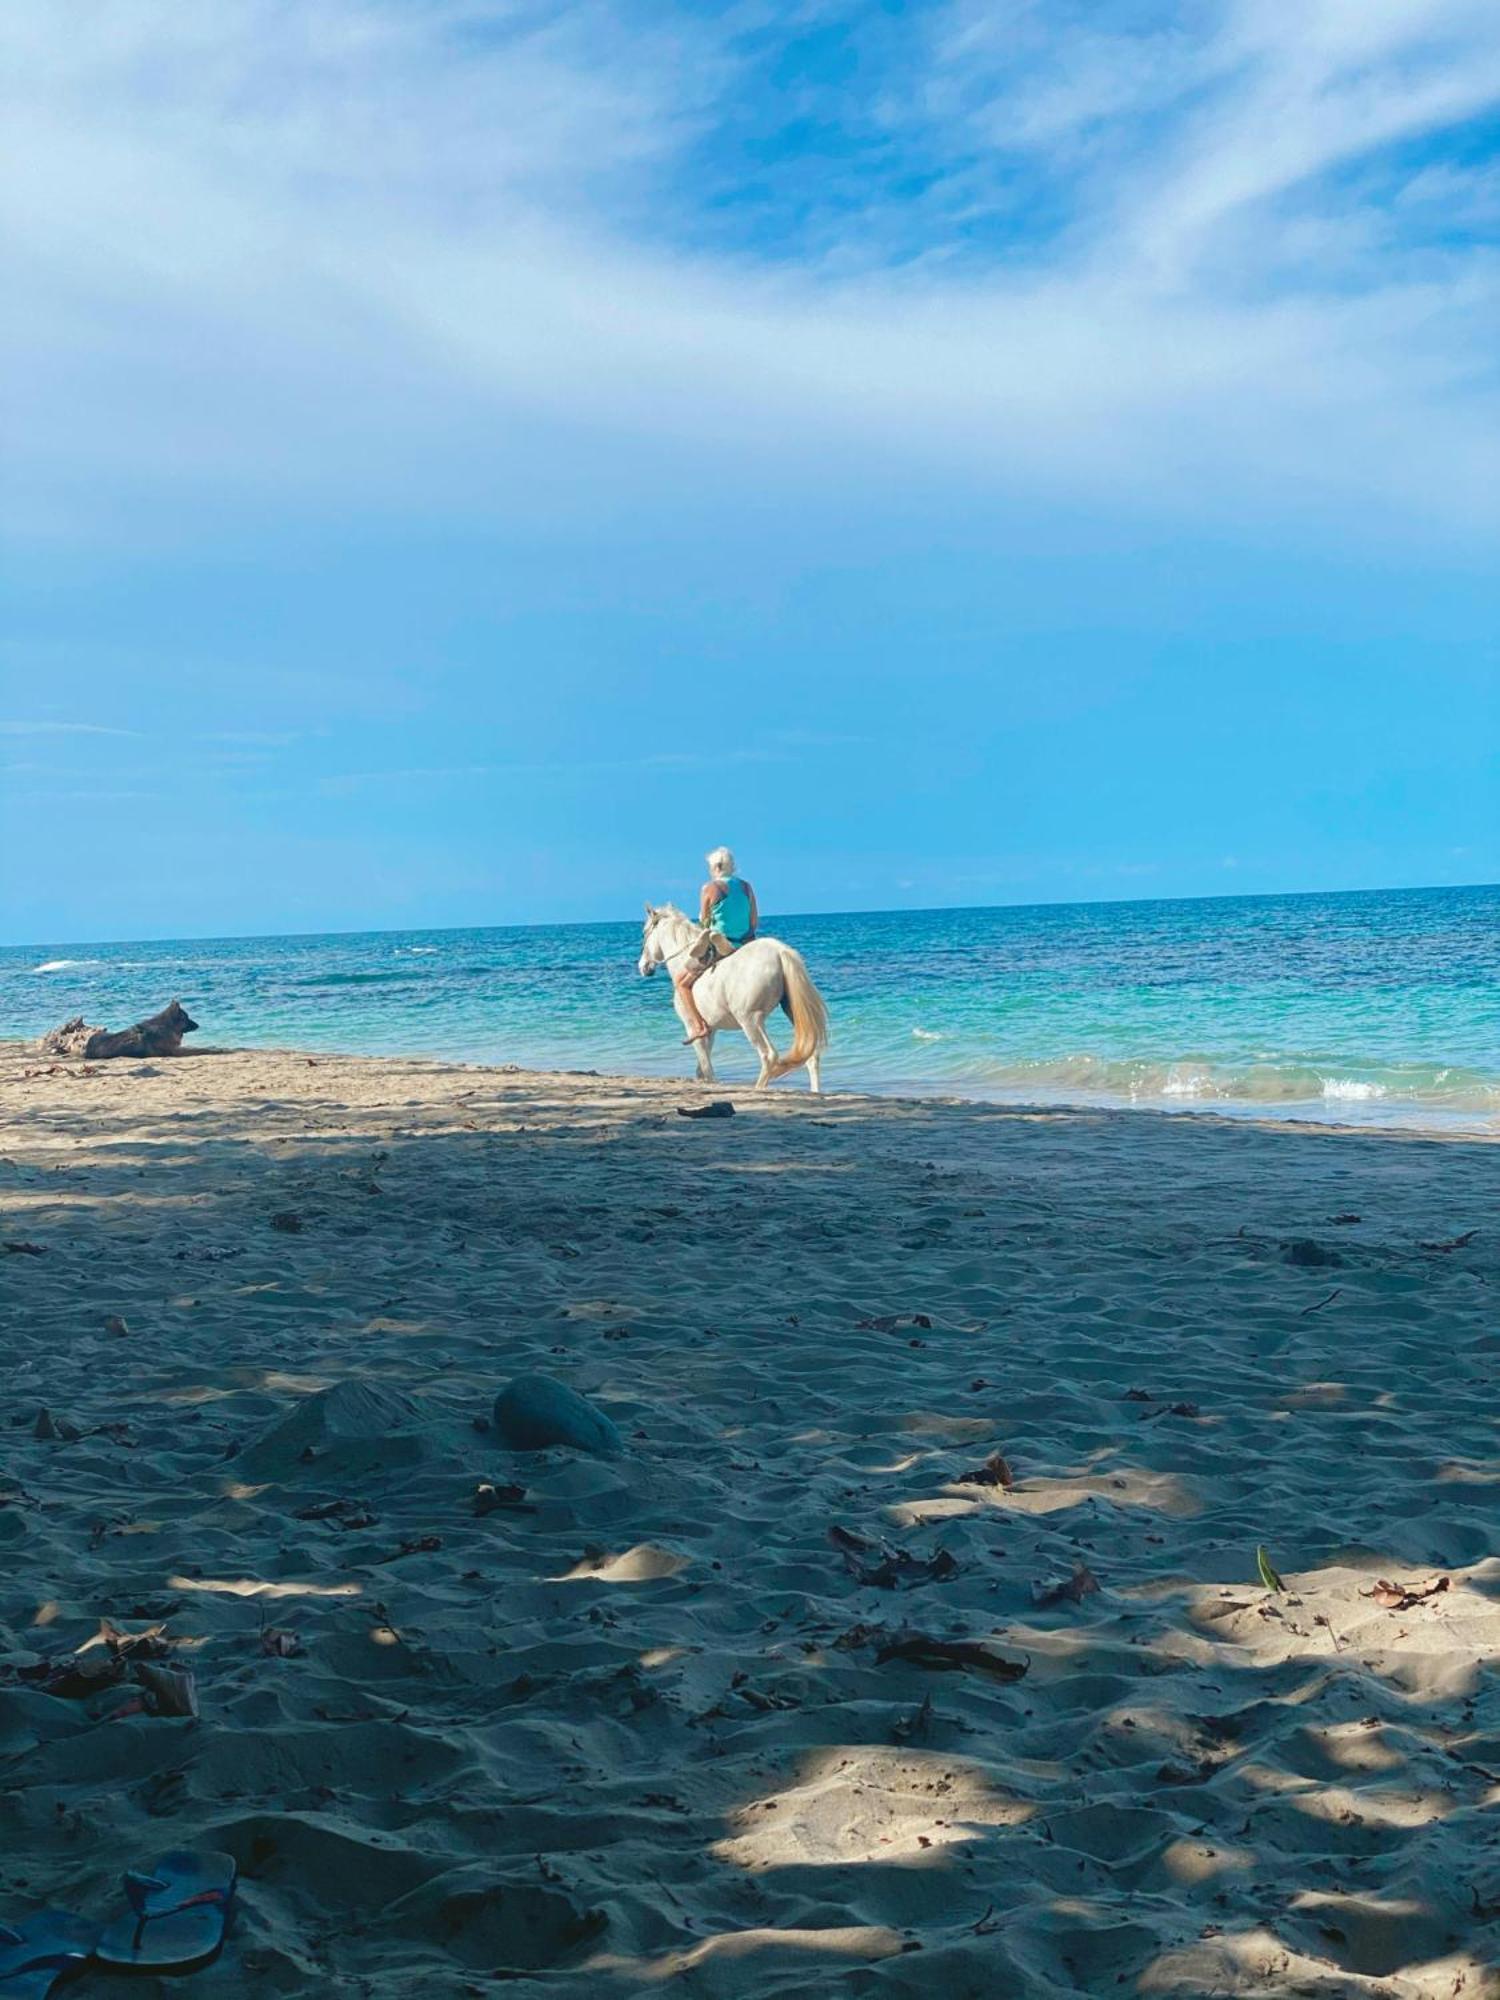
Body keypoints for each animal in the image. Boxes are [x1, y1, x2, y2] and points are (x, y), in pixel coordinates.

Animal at [640, 908, 836, 1096]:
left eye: (644, 932)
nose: (643, 967)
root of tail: (780, 952)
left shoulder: (693, 1028)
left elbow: (706, 1067)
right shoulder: (710, 1030)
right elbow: (702, 1068)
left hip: (749, 1020)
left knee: (769, 1055)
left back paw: (758, 1088)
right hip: (794, 1013)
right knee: (811, 1054)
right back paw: (815, 1092)